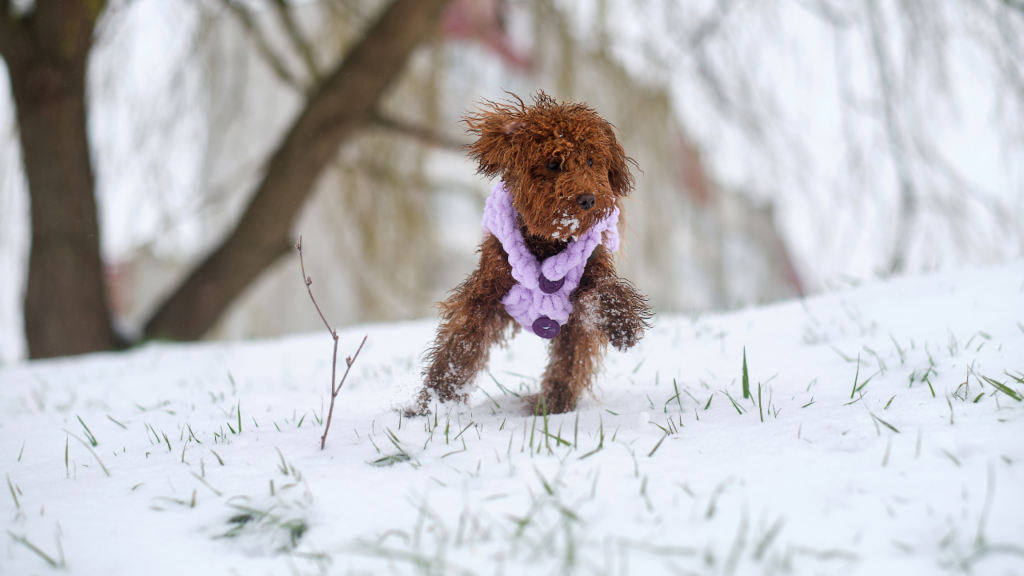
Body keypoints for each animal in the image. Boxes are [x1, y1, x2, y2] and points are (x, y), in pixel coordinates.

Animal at [411, 90, 651, 412]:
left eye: (590, 161)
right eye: (553, 164)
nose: (588, 199)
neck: (548, 242)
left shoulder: (589, 277)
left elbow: (604, 296)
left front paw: (621, 323)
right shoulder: (486, 291)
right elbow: (460, 346)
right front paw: (433, 402)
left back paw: (552, 404)